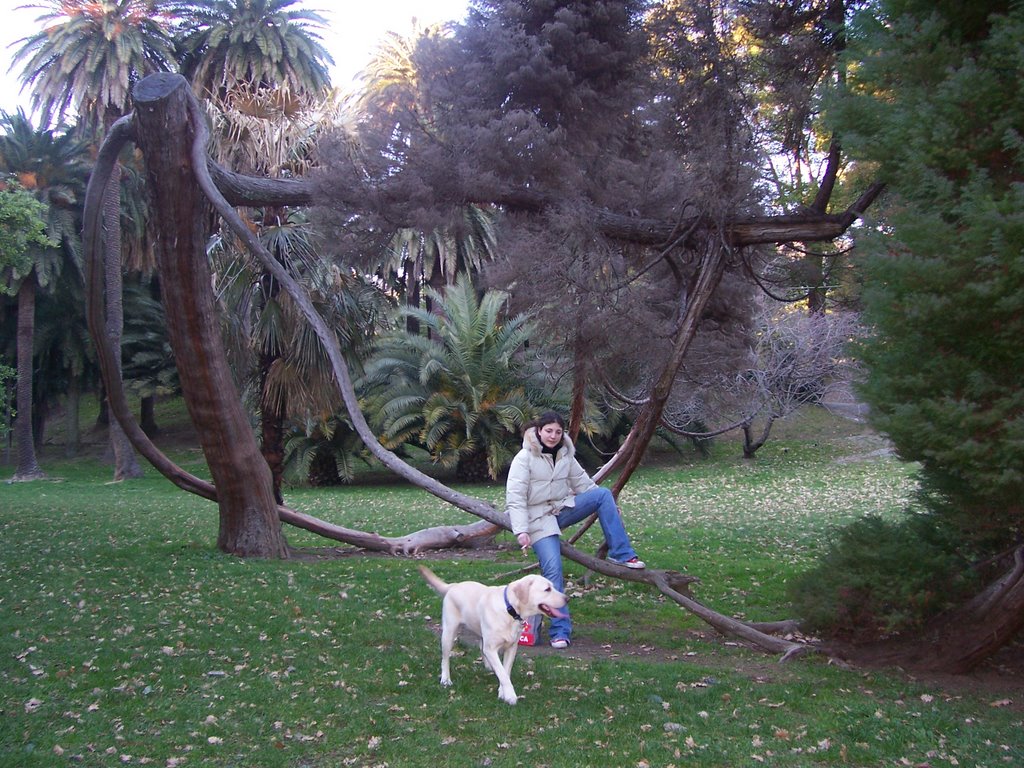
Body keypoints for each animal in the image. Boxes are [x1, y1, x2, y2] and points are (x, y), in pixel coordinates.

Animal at [419, 569, 573, 708]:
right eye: (547, 589)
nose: (567, 599)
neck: (510, 610)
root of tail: (453, 585)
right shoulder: (492, 648)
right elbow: (503, 674)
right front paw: (510, 696)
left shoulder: (511, 647)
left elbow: (505, 671)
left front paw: (502, 692)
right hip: (449, 632)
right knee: (445, 658)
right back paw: (446, 679)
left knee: (481, 647)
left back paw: (489, 666)